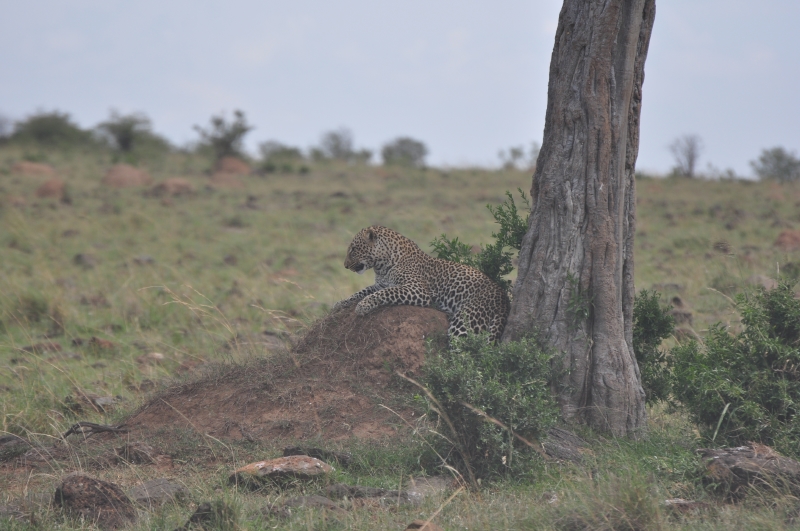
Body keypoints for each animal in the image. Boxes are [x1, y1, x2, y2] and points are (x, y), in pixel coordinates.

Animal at [333, 225, 510, 342]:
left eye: (353, 249)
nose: (345, 266)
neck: (381, 266)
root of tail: (504, 300)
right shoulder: (380, 284)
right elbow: (362, 291)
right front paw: (340, 303)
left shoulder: (417, 289)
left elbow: (385, 293)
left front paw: (363, 306)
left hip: (463, 321)